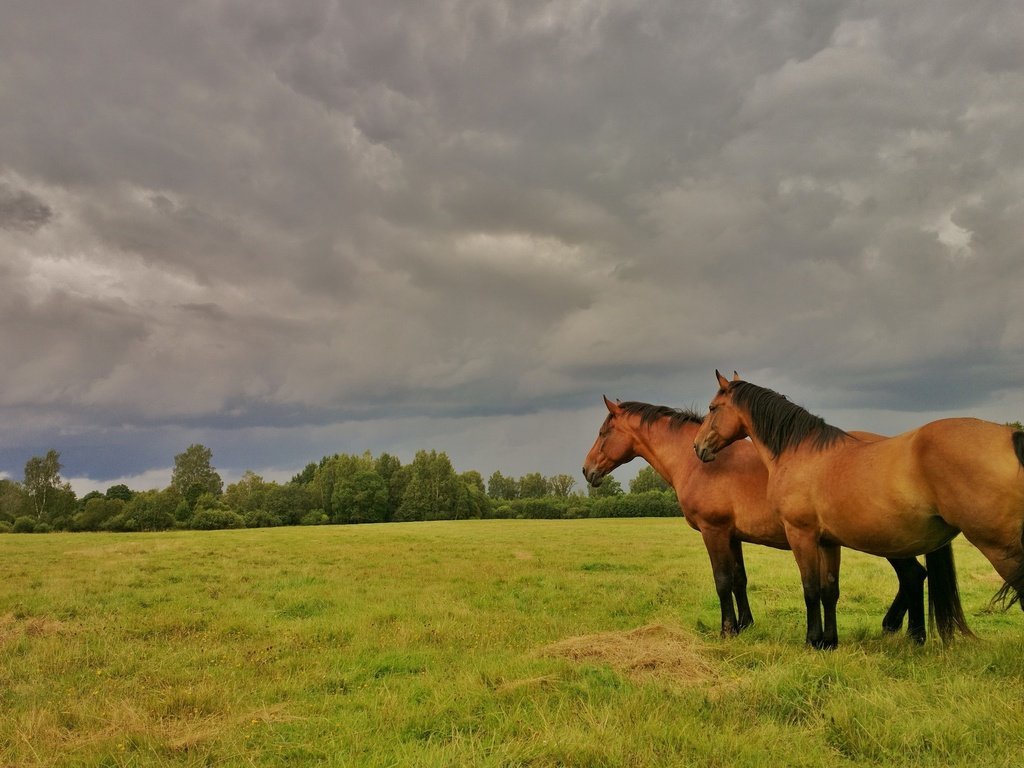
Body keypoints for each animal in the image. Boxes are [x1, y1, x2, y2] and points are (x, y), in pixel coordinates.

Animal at [585, 397, 958, 643]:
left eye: (603, 432)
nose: (587, 470)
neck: (698, 463)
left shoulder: (713, 531)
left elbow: (722, 580)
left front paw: (727, 631)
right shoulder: (732, 535)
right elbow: (739, 579)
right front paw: (745, 625)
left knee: (913, 576)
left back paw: (907, 633)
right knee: (914, 577)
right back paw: (902, 631)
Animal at [692, 372, 1011, 651]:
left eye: (712, 407)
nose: (698, 447)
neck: (801, 454)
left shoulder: (801, 535)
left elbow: (810, 589)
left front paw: (811, 641)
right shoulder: (828, 542)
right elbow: (829, 590)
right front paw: (829, 642)